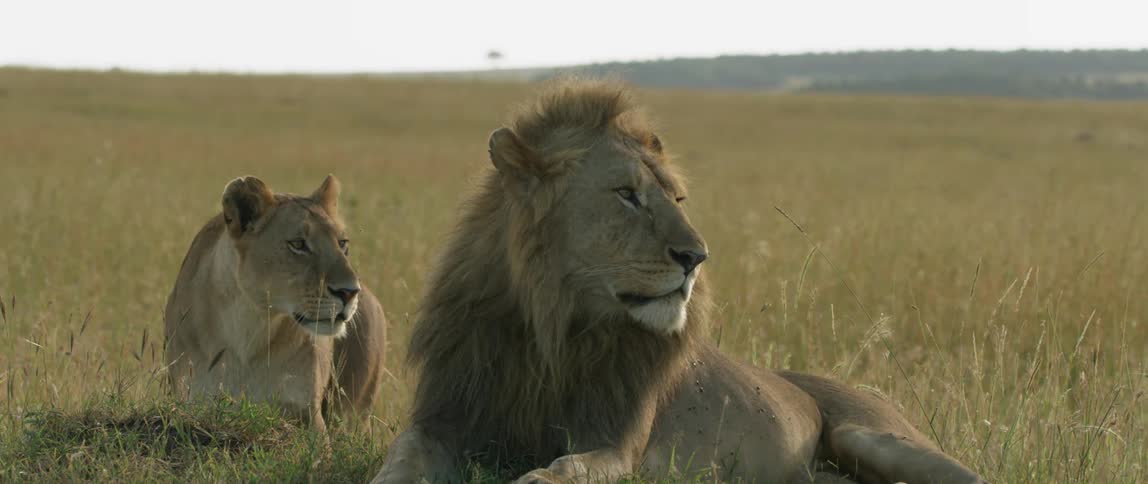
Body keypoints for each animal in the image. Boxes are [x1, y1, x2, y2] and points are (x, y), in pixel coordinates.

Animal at [164, 174, 386, 433]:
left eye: (342, 243)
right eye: (298, 244)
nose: (350, 292)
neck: (250, 324)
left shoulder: (308, 413)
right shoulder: (191, 398)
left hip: (354, 411)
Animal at [372, 80, 984, 483]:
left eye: (678, 199)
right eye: (627, 194)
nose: (697, 257)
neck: (551, 329)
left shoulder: (616, 444)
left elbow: (565, 469)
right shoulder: (447, 418)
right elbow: (401, 459)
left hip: (874, 436)